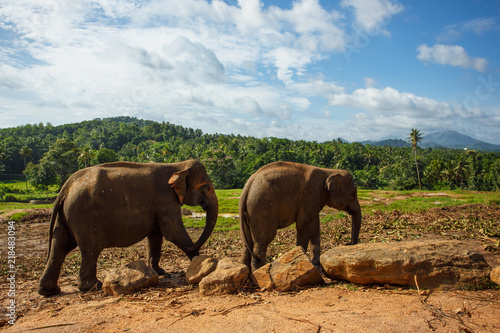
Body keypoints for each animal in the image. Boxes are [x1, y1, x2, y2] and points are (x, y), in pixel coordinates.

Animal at [38, 159, 218, 296]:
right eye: (207, 187)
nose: (195, 246)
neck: (177, 165)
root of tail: (66, 186)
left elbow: (156, 236)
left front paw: (160, 272)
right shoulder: (165, 199)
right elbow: (172, 231)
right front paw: (200, 264)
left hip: (65, 216)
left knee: (59, 246)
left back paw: (49, 291)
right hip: (84, 216)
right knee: (90, 250)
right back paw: (93, 286)